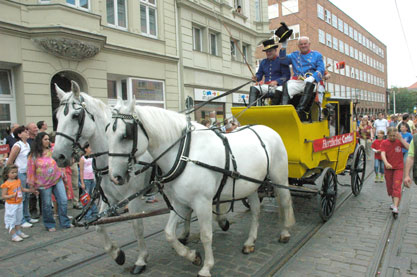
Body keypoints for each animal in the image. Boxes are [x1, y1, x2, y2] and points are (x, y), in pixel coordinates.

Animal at [52, 80, 165, 274]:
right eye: (57, 117)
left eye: (76, 115)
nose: (57, 156)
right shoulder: (109, 198)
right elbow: (99, 226)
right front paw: (117, 254)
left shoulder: (133, 198)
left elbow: (137, 226)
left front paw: (141, 259)